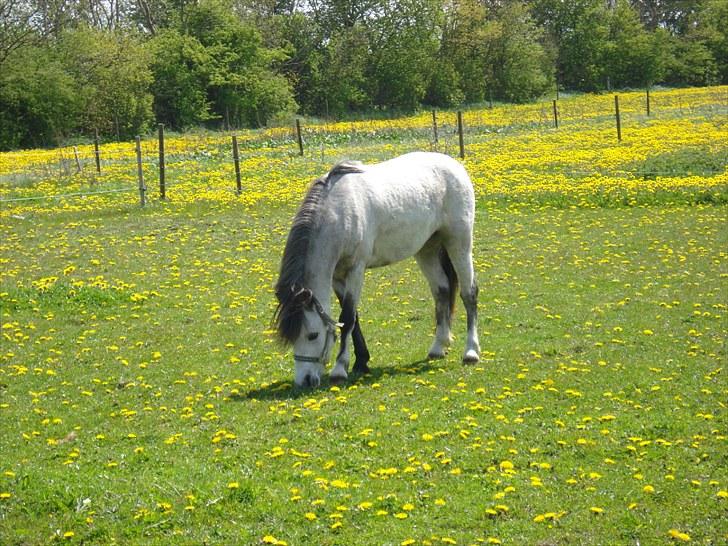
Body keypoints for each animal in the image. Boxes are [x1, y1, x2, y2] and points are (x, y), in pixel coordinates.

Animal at [274, 151, 480, 388]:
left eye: (313, 335)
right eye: (292, 338)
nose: (305, 381)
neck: (338, 211)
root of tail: (454, 165)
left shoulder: (356, 270)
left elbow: (348, 317)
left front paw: (340, 369)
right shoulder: (337, 277)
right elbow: (351, 318)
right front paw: (361, 362)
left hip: (459, 243)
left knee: (469, 293)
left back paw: (471, 352)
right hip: (426, 249)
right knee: (442, 290)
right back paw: (438, 346)